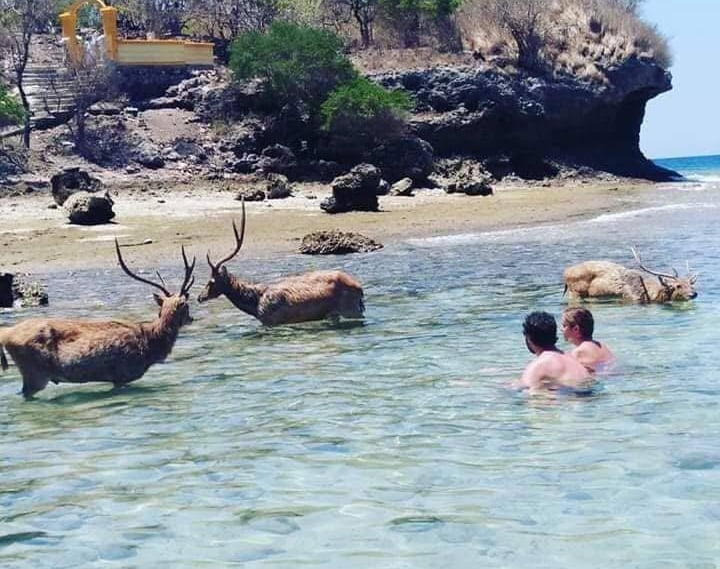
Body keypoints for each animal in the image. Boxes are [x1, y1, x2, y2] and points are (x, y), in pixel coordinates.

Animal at [0, 241, 196, 398]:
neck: (150, 344)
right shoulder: (122, 373)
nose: (192, 318)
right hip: (34, 372)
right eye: (187, 306)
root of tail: (6, 334)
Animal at [197, 201, 365, 326]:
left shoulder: (272, 321)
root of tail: (360, 289)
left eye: (211, 281)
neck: (255, 304)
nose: (199, 297)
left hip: (350, 310)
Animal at [563, 247, 698, 304]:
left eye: (691, 284)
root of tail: (565, 273)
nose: (693, 294)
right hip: (575, 292)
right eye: (678, 286)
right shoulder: (630, 298)